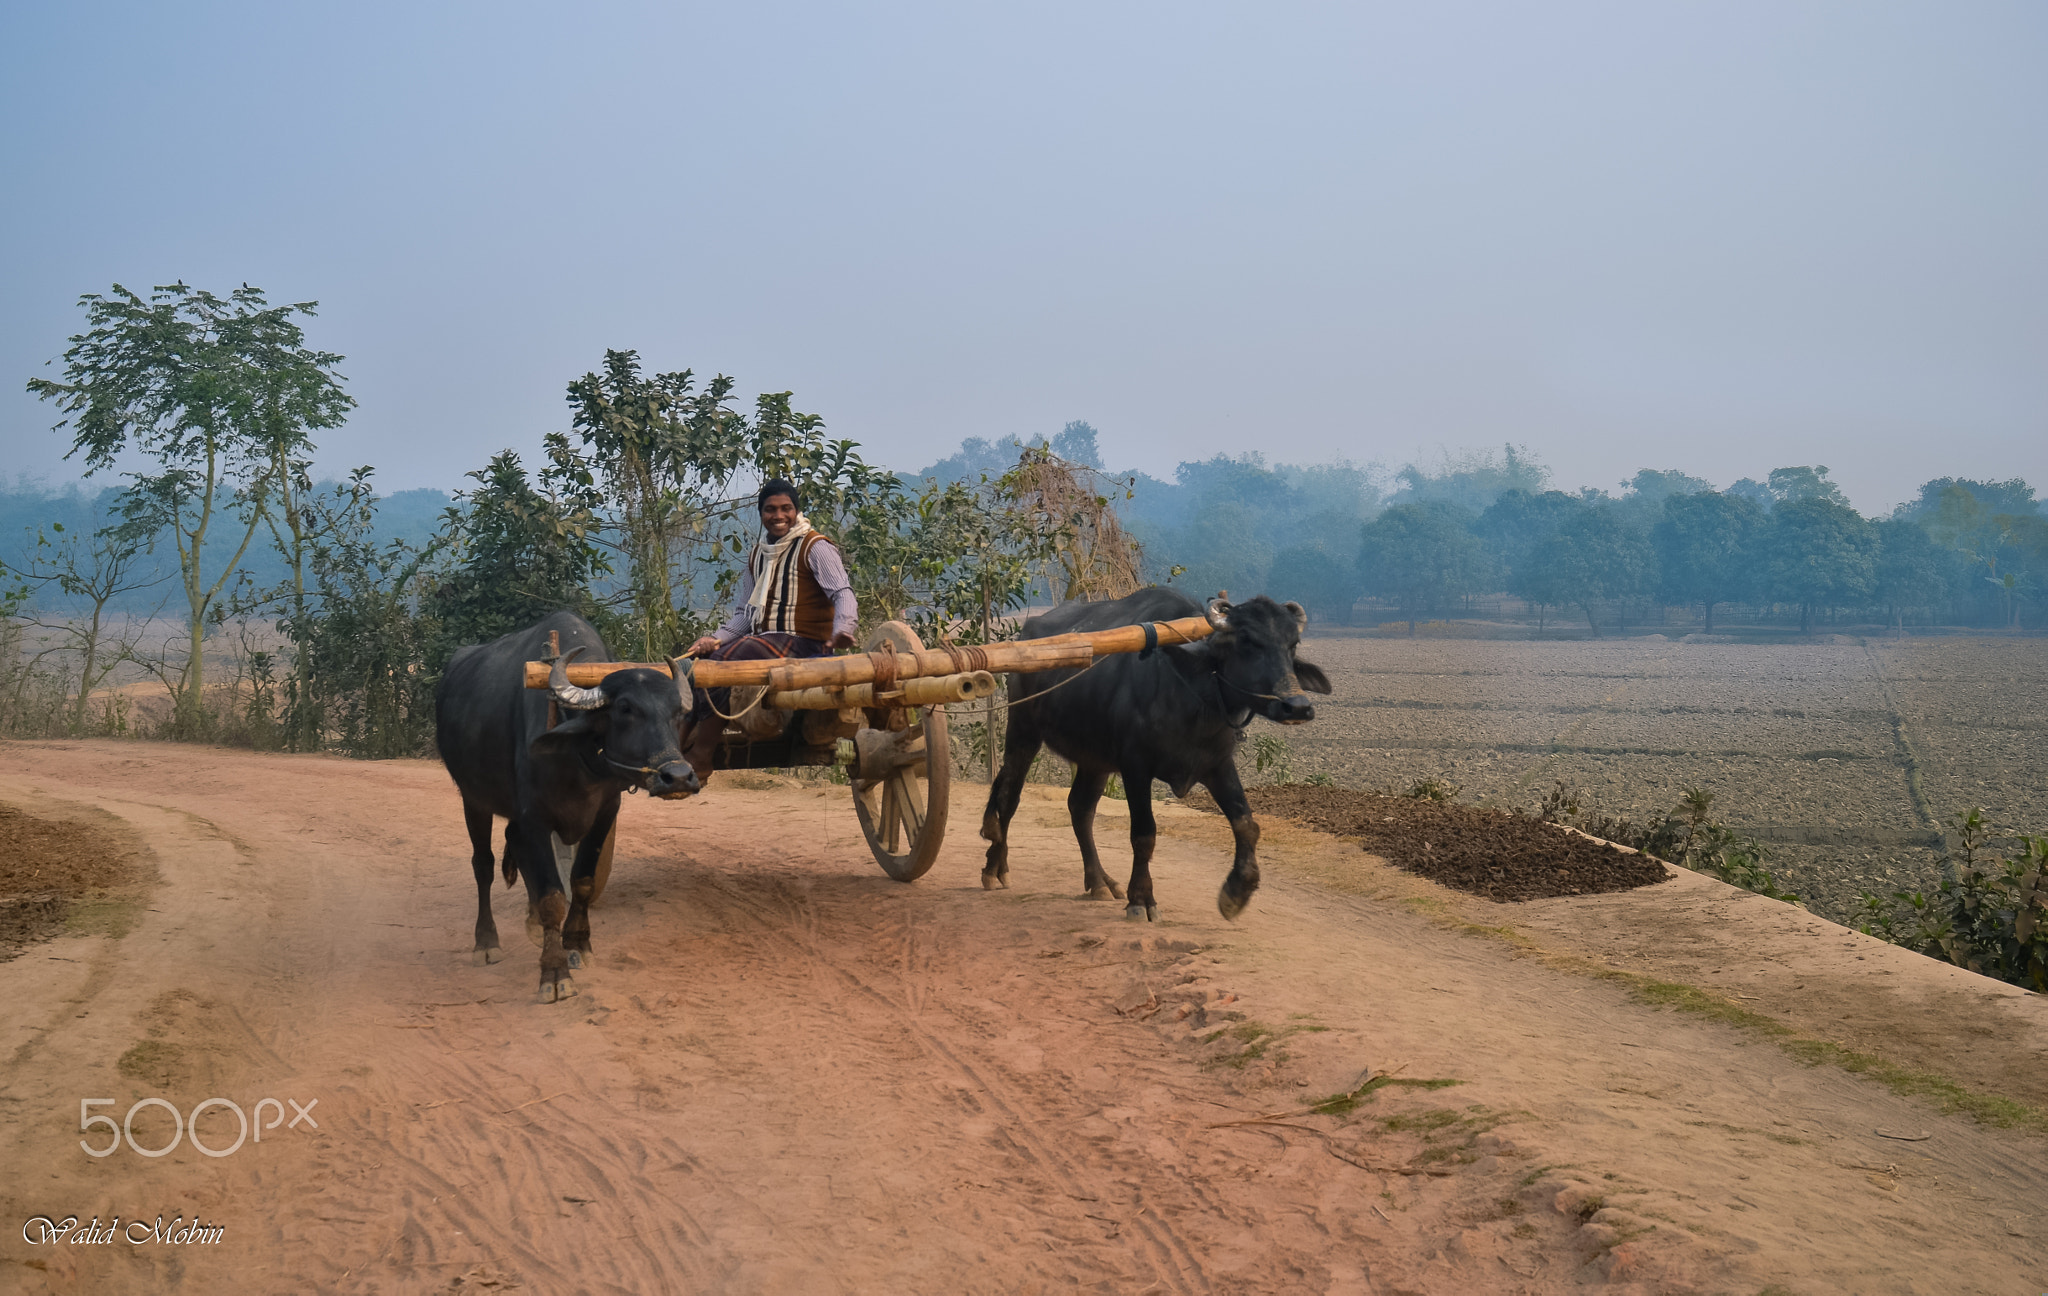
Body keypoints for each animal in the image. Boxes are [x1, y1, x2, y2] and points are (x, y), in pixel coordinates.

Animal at [436, 610, 700, 999]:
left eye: (676, 712)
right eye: (625, 708)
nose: (679, 777)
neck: (579, 756)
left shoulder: (605, 812)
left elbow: (582, 880)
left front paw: (576, 944)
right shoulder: (533, 817)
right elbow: (552, 895)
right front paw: (554, 972)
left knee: (514, 846)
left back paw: (532, 924)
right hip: (473, 798)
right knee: (483, 865)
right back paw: (486, 943)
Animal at [974, 585, 1327, 921]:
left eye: (1292, 643)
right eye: (1247, 641)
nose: (1297, 706)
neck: (1190, 694)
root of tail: (1028, 633)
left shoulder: (1217, 764)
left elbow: (1246, 823)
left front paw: (1237, 892)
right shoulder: (1136, 767)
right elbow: (1144, 834)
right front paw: (1141, 900)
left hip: (1094, 758)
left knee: (1080, 808)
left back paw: (1100, 881)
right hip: (1023, 730)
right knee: (1008, 796)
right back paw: (995, 868)